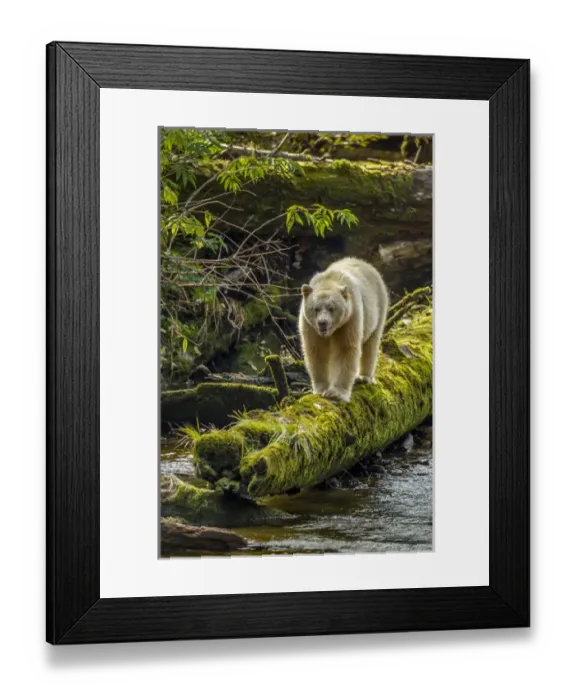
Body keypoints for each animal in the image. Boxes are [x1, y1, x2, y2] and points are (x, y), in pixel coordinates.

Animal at [299, 257, 389, 403]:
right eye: (315, 308)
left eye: (331, 308)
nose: (322, 323)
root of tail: (365, 264)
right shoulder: (309, 326)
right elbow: (316, 352)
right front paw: (321, 389)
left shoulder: (350, 319)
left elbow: (345, 349)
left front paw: (336, 393)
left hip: (377, 308)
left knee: (371, 343)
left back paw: (364, 377)